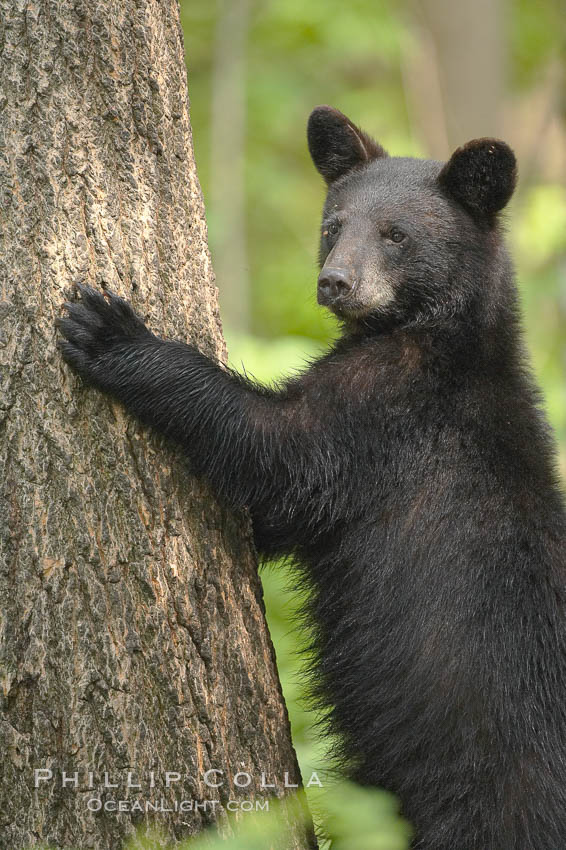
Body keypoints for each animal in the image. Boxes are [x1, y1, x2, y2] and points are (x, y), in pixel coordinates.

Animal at [58, 107, 566, 848]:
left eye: (396, 234)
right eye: (334, 225)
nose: (336, 282)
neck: (443, 336)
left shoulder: (385, 415)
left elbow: (274, 450)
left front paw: (111, 333)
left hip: (489, 790)